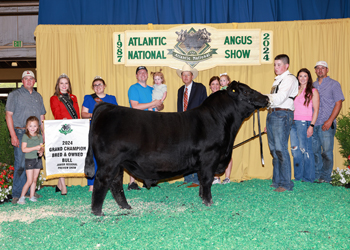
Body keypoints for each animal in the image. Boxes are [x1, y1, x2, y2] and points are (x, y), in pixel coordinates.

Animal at [85, 81, 268, 216]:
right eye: (246, 92)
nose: (266, 97)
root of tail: (107, 107)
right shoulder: (210, 157)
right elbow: (207, 179)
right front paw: (208, 202)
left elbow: (202, 180)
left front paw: (201, 197)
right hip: (108, 162)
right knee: (102, 181)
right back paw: (97, 212)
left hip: (119, 164)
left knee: (115, 184)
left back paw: (125, 207)